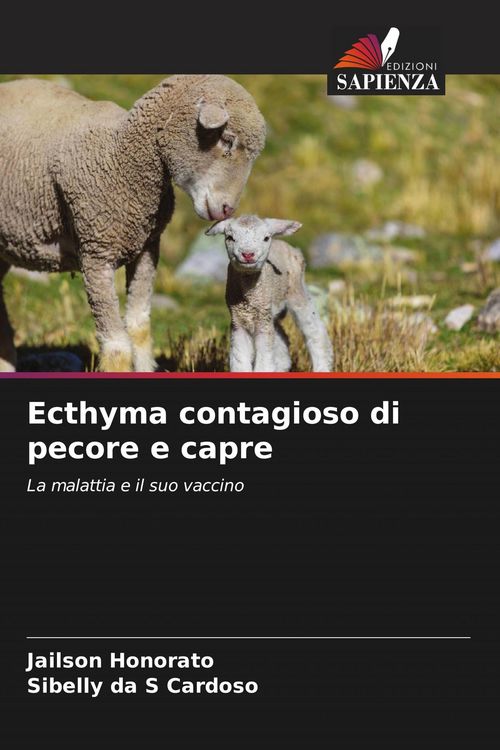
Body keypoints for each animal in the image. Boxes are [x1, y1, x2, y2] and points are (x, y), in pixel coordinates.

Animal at [0, 75, 266, 372]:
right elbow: (116, 345)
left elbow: (139, 328)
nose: (227, 209)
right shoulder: (96, 252)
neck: (122, 156)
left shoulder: (147, 248)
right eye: (227, 140)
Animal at [206, 215, 334, 372]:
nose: (248, 254)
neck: (249, 297)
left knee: (315, 331)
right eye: (230, 237)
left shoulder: (262, 319)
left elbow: (264, 361)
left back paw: (322, 367)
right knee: (281, 340)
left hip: (297, 291)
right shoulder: (238, 321)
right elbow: (240, 360)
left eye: (266, 238)